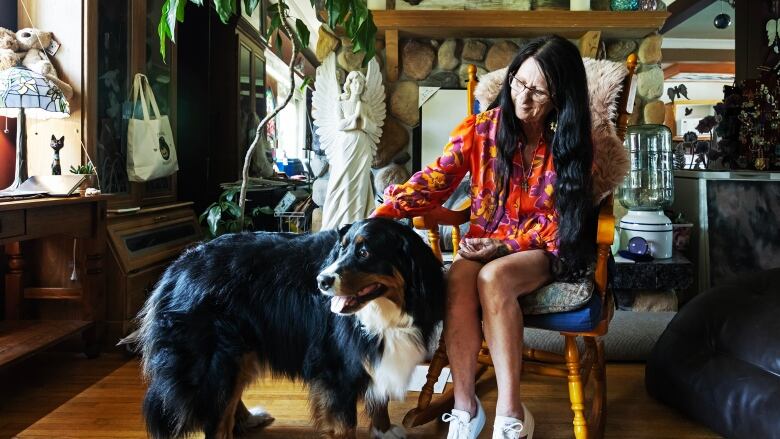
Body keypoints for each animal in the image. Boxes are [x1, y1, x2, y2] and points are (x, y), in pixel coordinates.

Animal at [136, 219, 444, 439]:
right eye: (340, 249)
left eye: (364, 252)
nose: (321, 281)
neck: (384, 310)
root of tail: (178, 266)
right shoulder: (336, 368)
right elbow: (345, 425)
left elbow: (379, 399)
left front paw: (383, 429)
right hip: (217, 357)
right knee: (217, 418)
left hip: (241, 349)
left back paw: (249, 419)